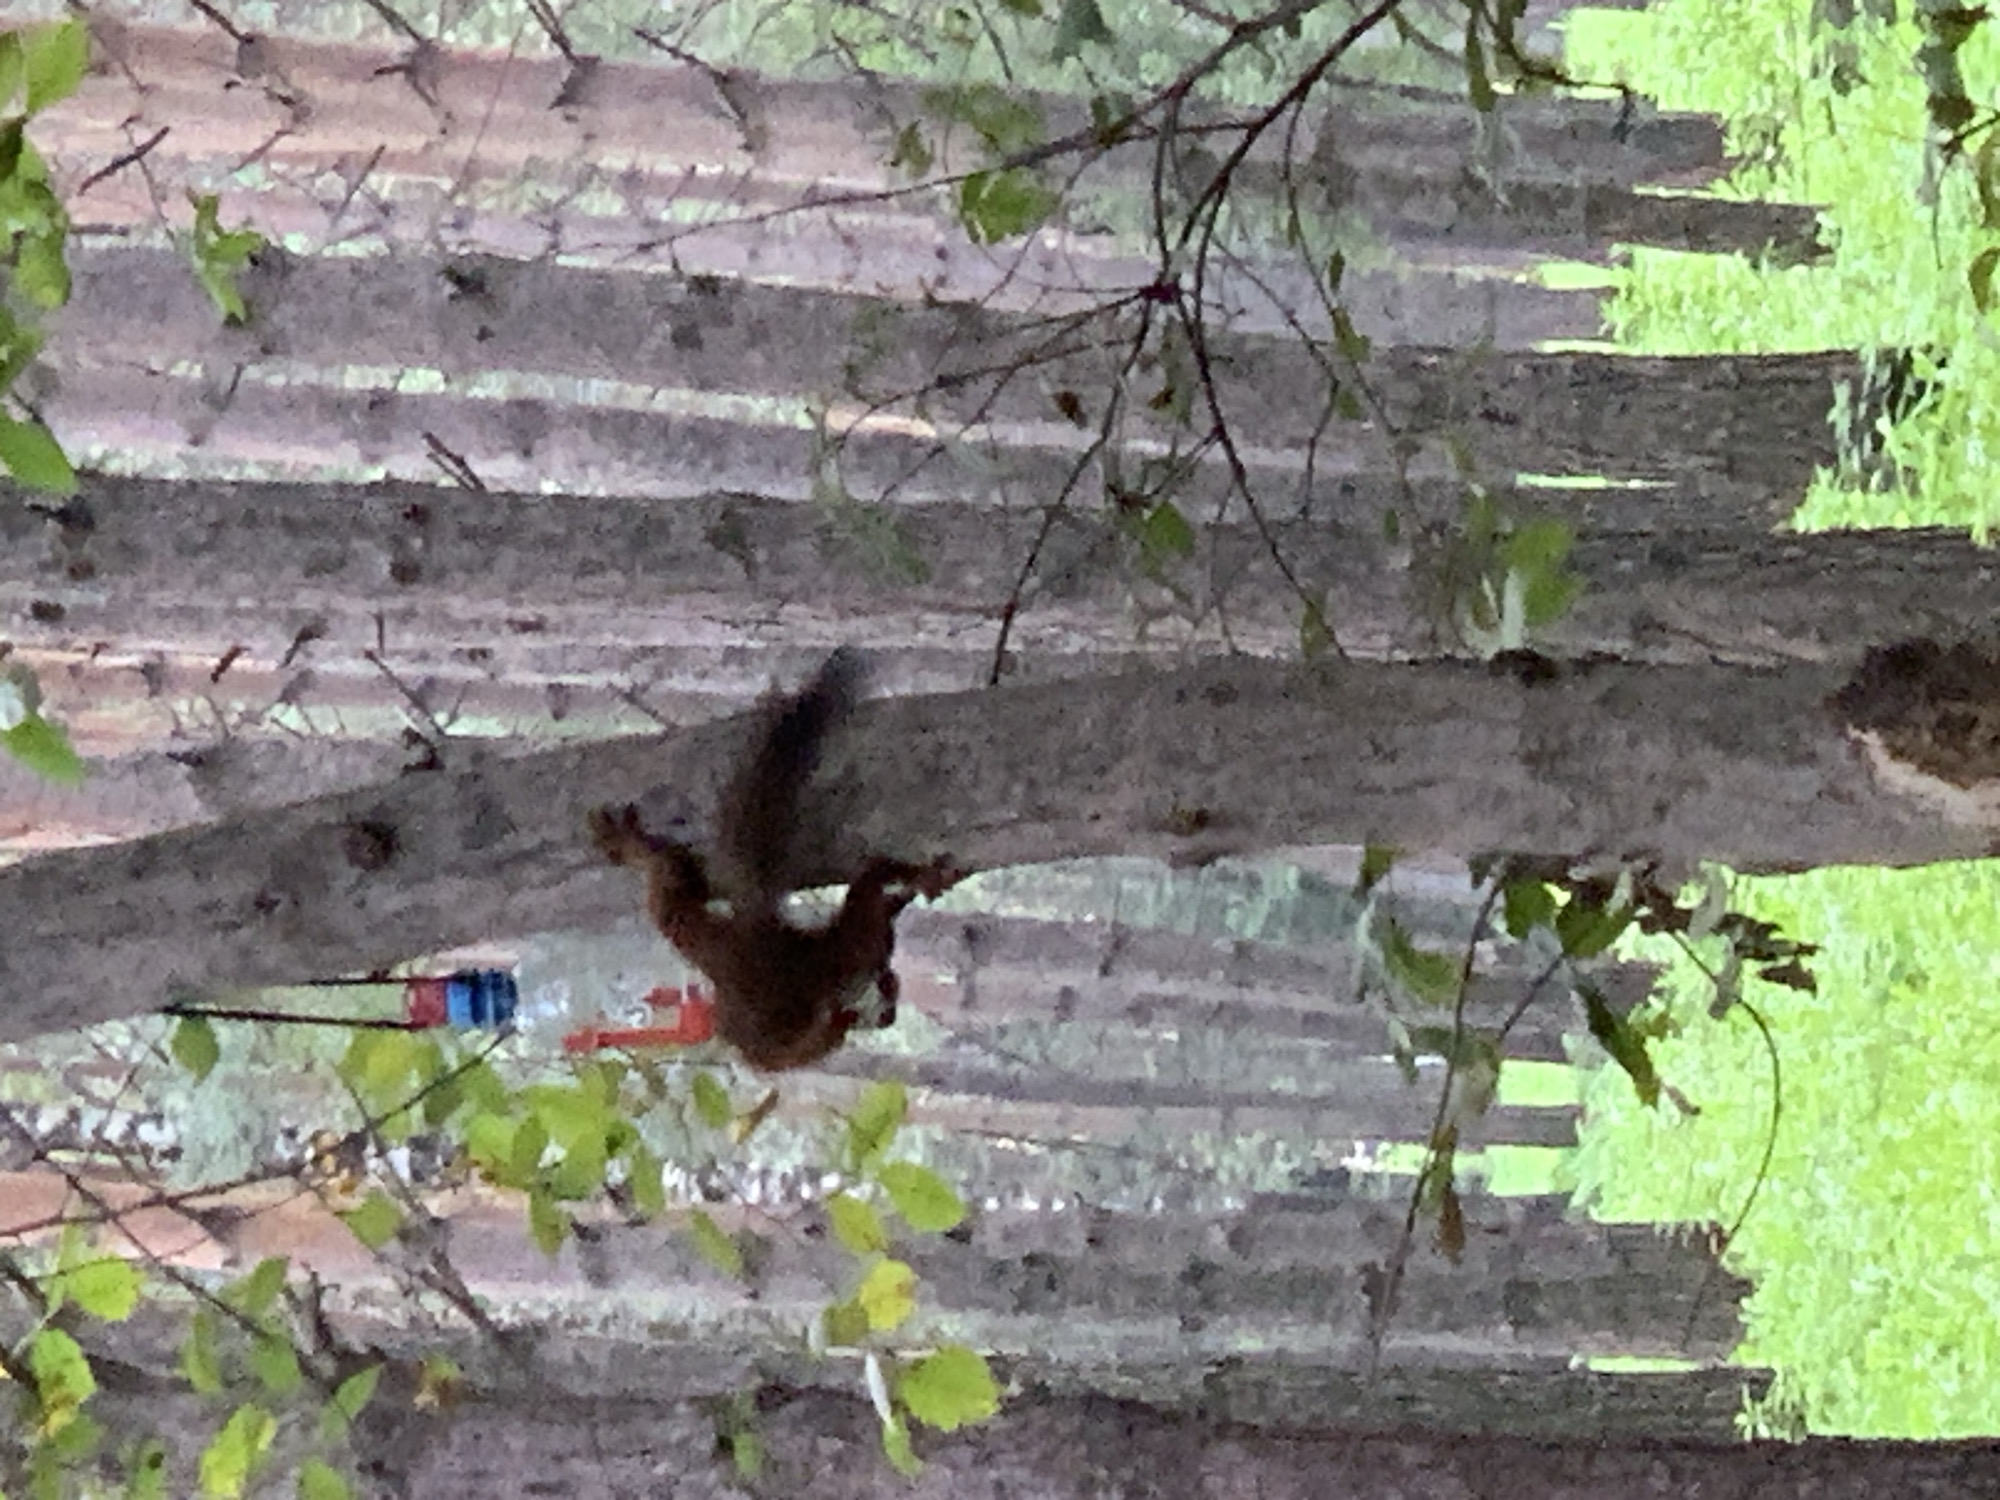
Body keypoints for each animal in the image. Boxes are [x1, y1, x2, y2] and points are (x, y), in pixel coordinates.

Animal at [588, 649, 960, 1071]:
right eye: (888, 998)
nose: (890, 1016)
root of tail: (758, 934)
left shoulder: (867, 947)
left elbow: (870, 886)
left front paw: (916, 885)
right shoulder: (860, 958)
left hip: (707, 941)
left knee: (672, 887)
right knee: (673, 895)